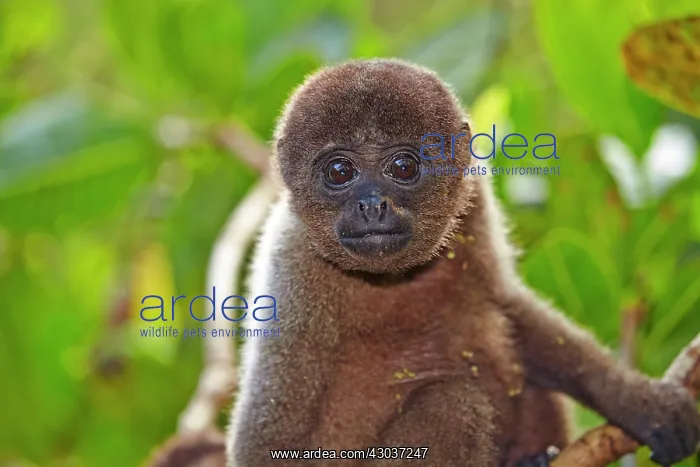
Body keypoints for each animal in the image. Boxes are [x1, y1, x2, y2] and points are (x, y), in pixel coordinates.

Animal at [227, 58, 700, 467]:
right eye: (339, 172)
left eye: (403, 166)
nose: (372, 205)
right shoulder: (293, 268)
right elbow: (265, 439)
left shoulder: (475, 200)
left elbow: (509, 304)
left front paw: (641, 404)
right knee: (455, 402)